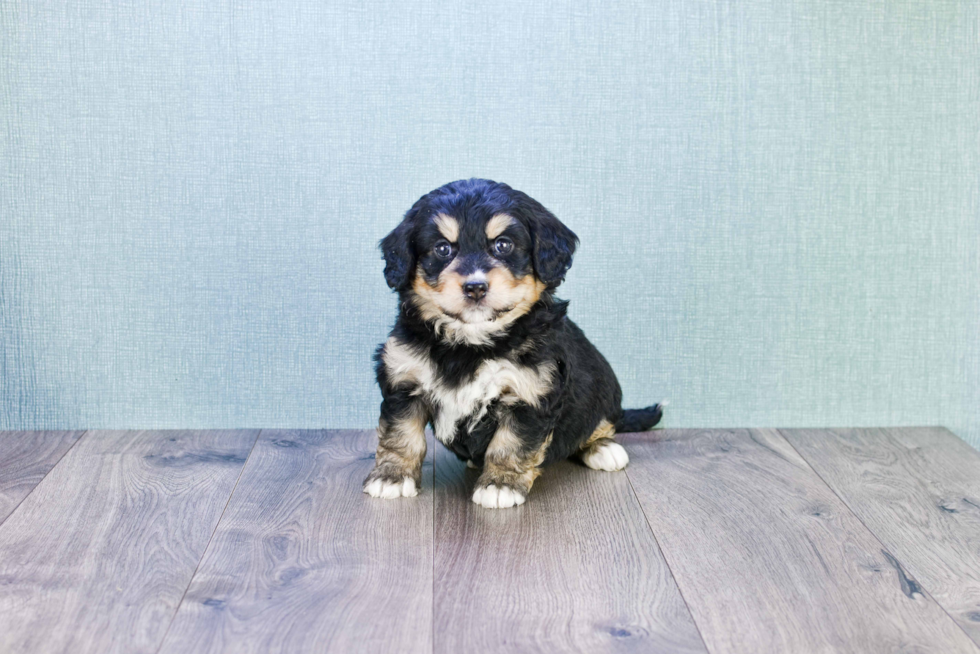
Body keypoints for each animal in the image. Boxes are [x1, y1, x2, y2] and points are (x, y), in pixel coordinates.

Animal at [364, 181, 664, 512]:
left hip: (605, 389)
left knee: (601, 423)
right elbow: (402, 434)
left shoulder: (530, 392)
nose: (475, 287)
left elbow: (510, 444)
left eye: (503, 245)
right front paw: (392, 476)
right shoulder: (404, 380)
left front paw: (500, 485)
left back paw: (603, 448)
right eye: (443, 248)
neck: (470, 344)